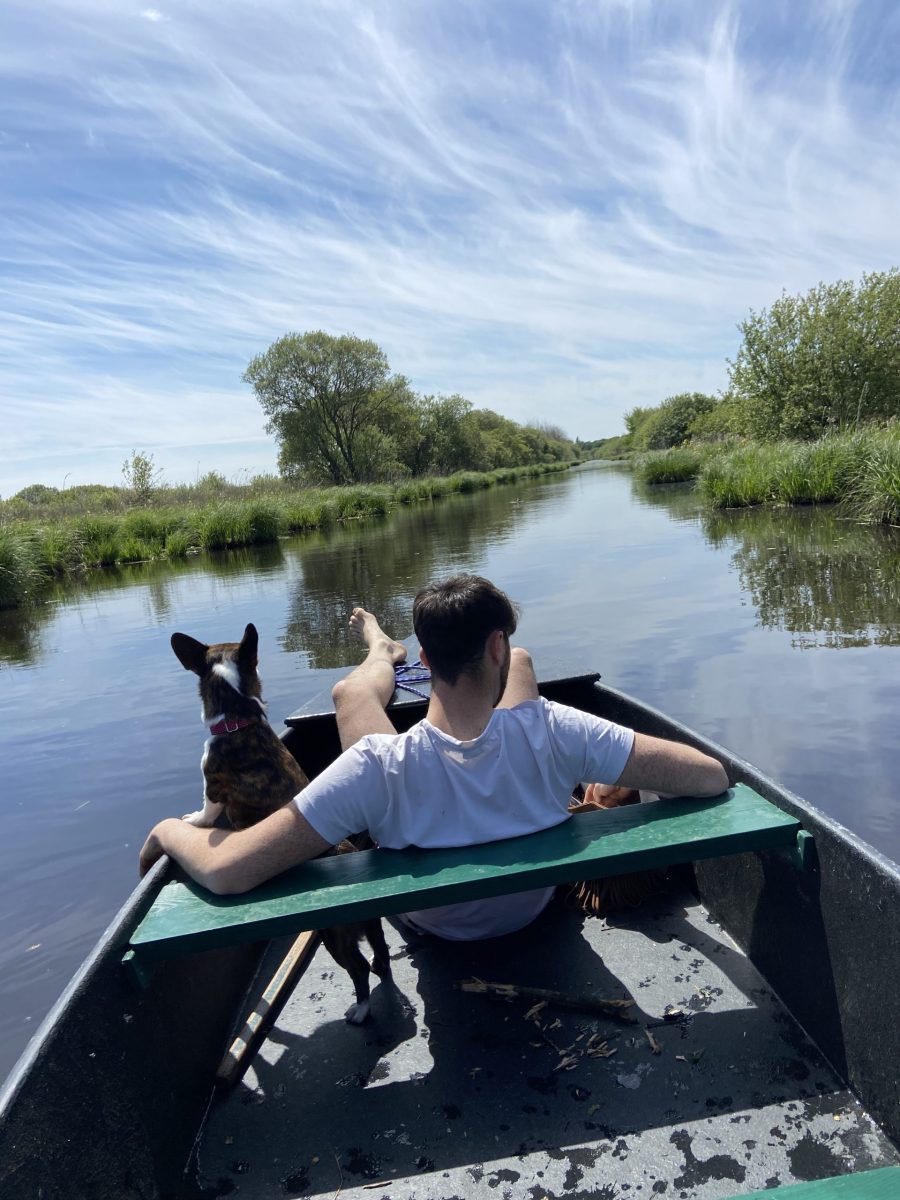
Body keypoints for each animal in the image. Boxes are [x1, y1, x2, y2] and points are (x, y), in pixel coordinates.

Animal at [172, 624, 391, 1027]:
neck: (238, 714)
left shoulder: (212, 786)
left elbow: (207, 811)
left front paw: (192, 820)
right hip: (371, 926)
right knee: (380, 954)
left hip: (334, 937)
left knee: (358, 968)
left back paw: (361, 1009)